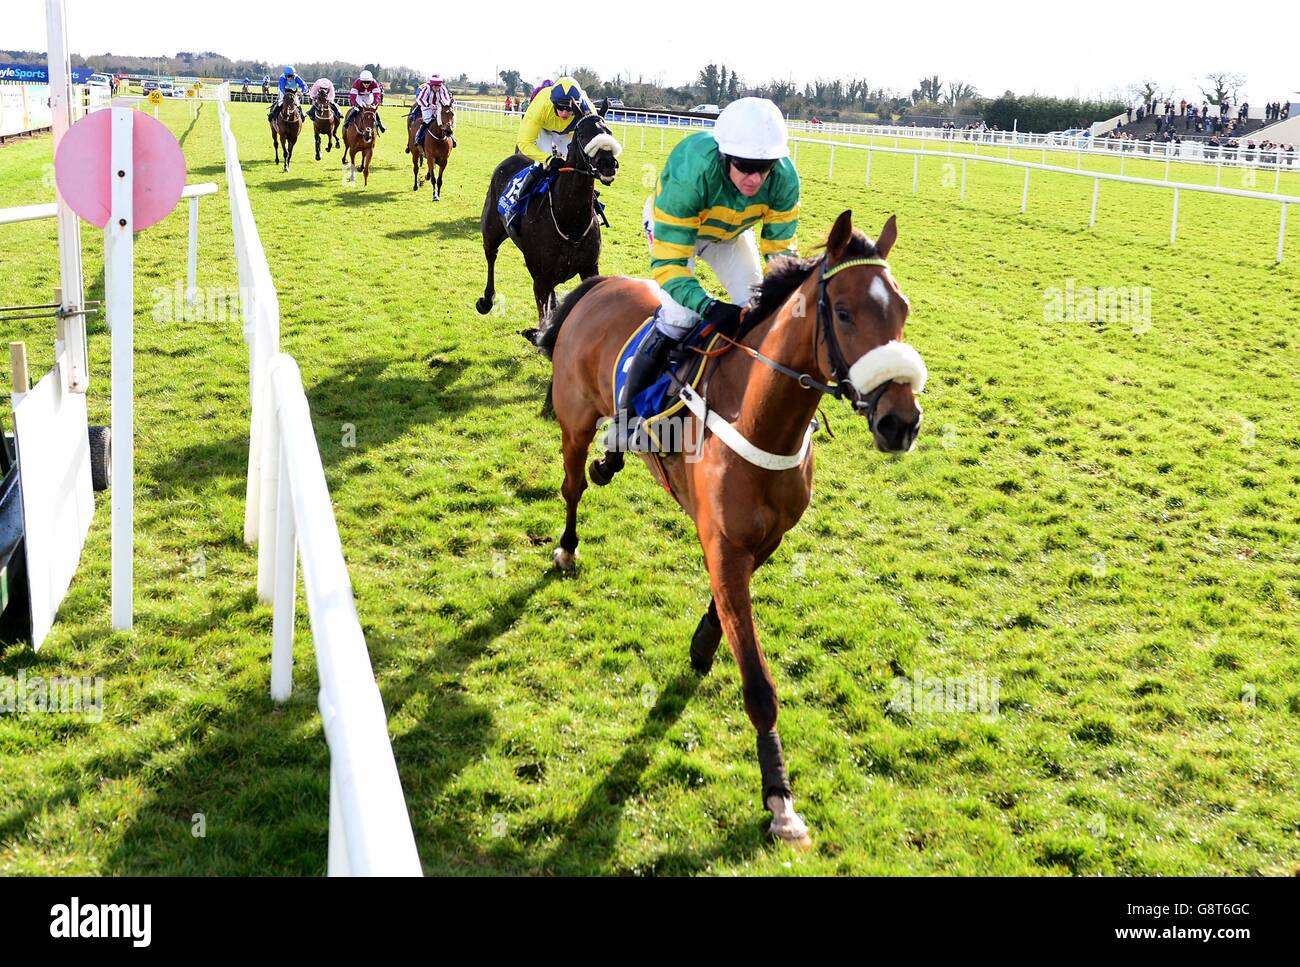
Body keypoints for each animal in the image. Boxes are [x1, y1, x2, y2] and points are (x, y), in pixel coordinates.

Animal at [475, 107, 621, 322]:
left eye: (609, 132)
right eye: (582, 135)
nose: (608, 163)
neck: (571, 223)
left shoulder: (589, 268)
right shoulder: (541, 281)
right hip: (491, 229)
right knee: (491, 254)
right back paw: (487, 299)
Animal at [525, 211, 925, 847]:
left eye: (903, 309)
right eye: (843, 313)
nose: (900, 422)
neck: (760, 419)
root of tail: (601, 283)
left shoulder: (760, 540)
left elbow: (723, 609)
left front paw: (703, 643)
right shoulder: (726, 544)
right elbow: (759, 683)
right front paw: (780, 799)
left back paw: (613, 458)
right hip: (574, 421)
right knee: (572, 488)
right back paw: (566, 545)